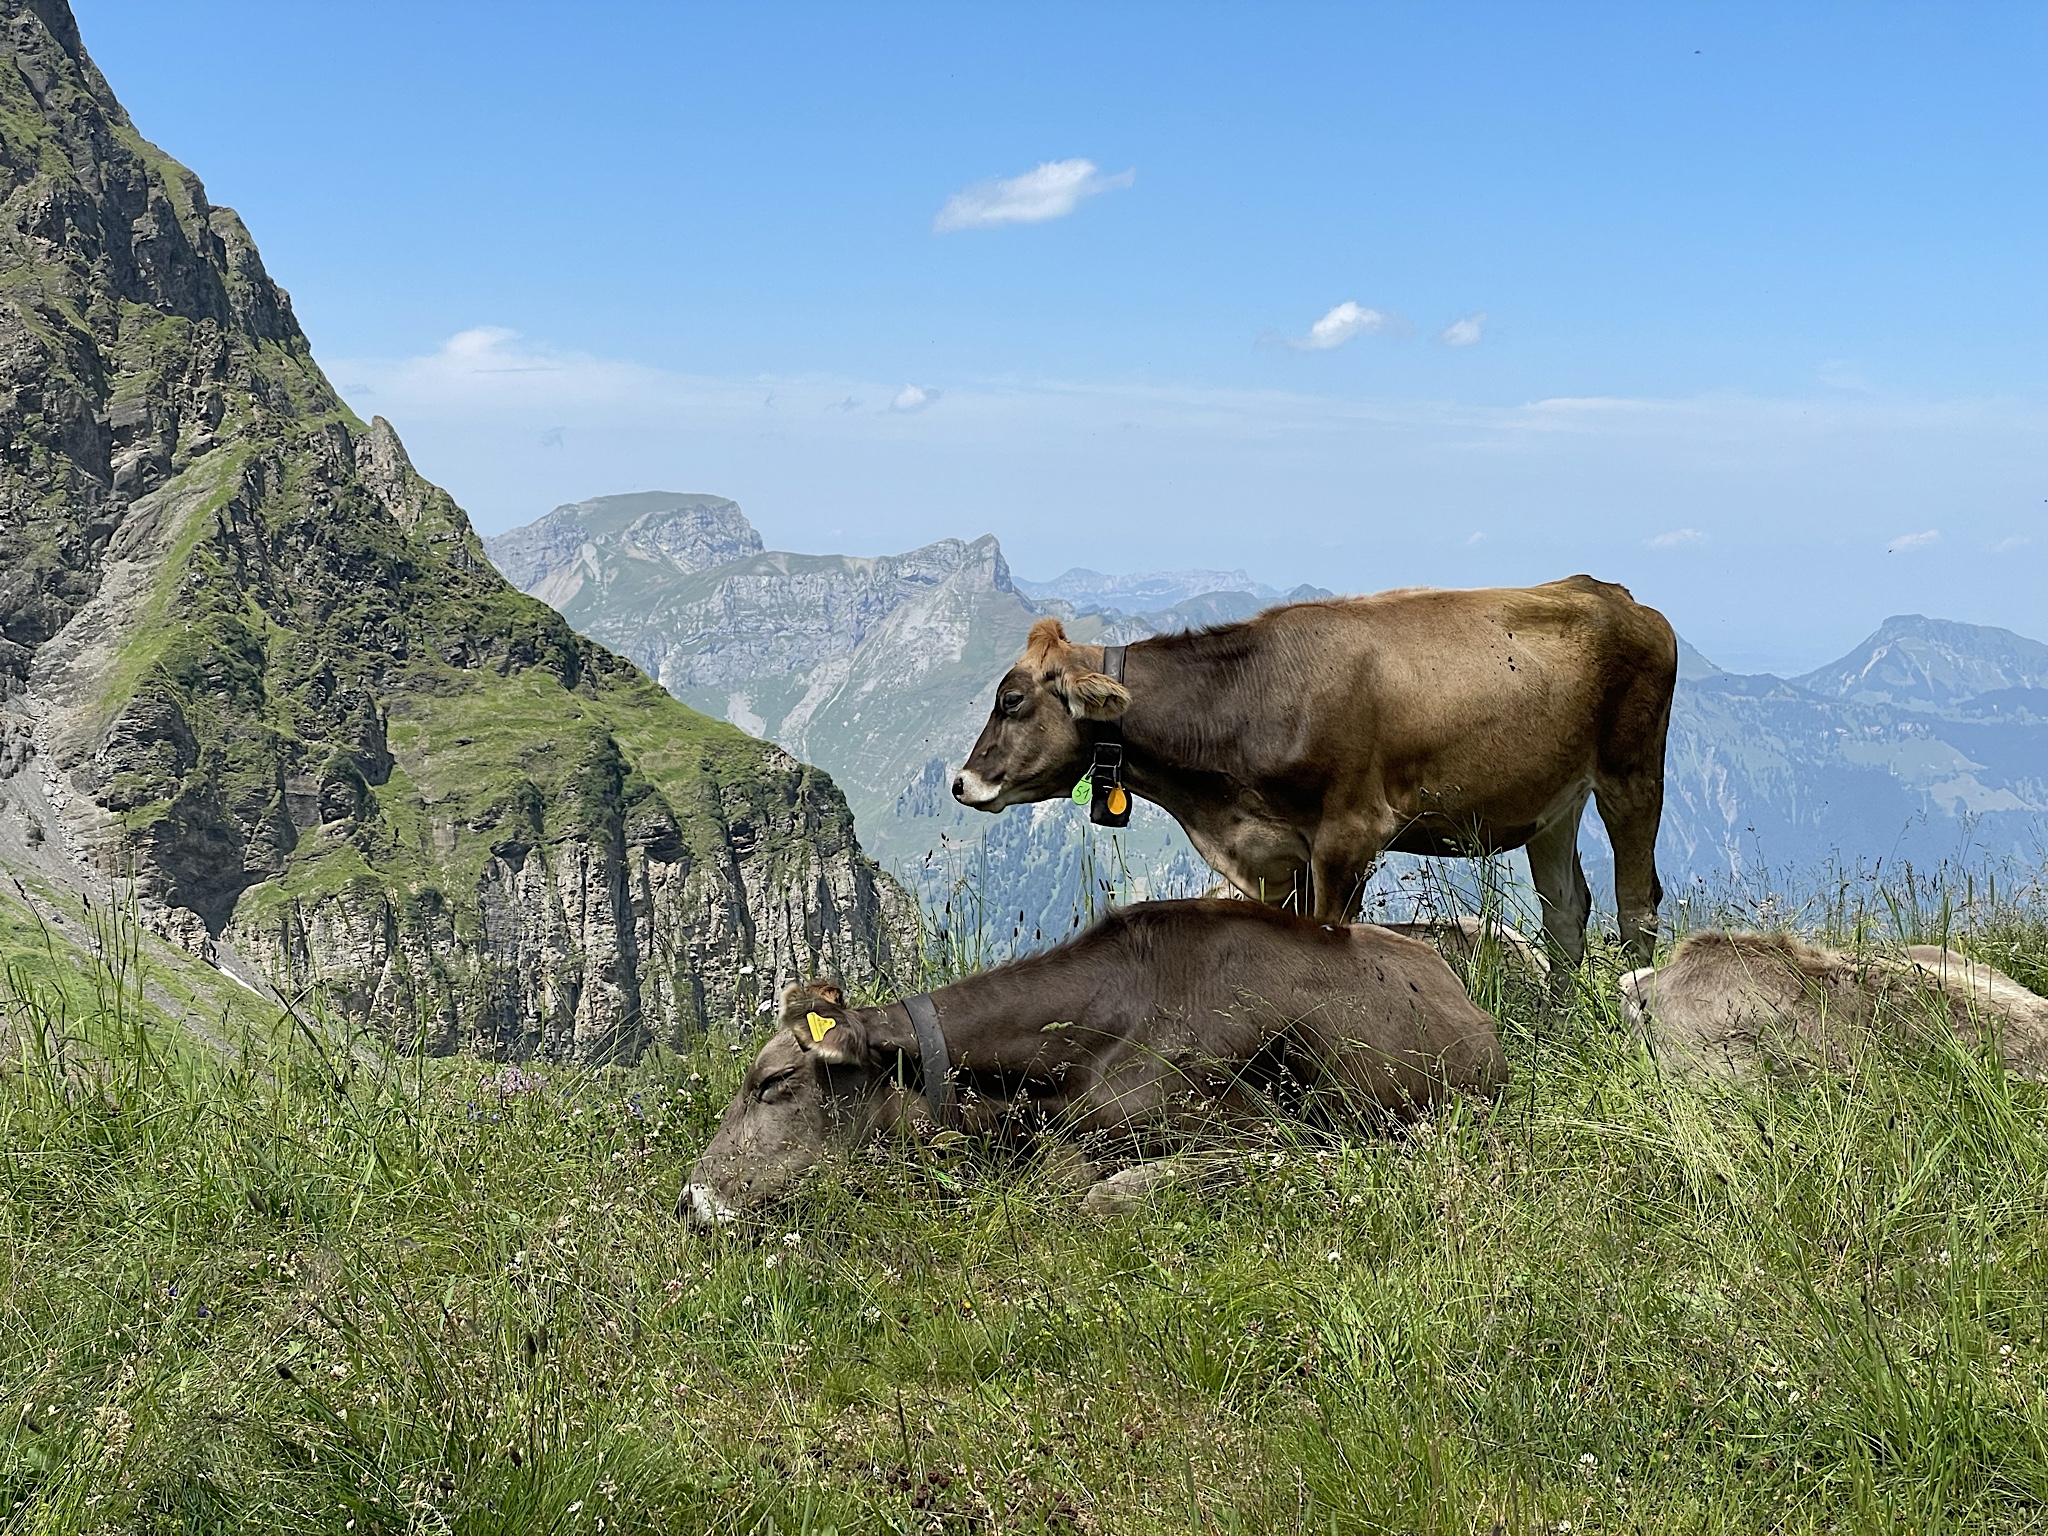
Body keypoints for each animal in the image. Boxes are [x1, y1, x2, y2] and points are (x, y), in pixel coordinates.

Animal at [952, 577, 1677, 967]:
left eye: (1010, 700)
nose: (961, 782)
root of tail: (1614, 594)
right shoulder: (1283, 853)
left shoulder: (1348, 837)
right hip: (1554, 804)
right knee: (1566, 911)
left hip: (1632, 778)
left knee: (1637, 906)